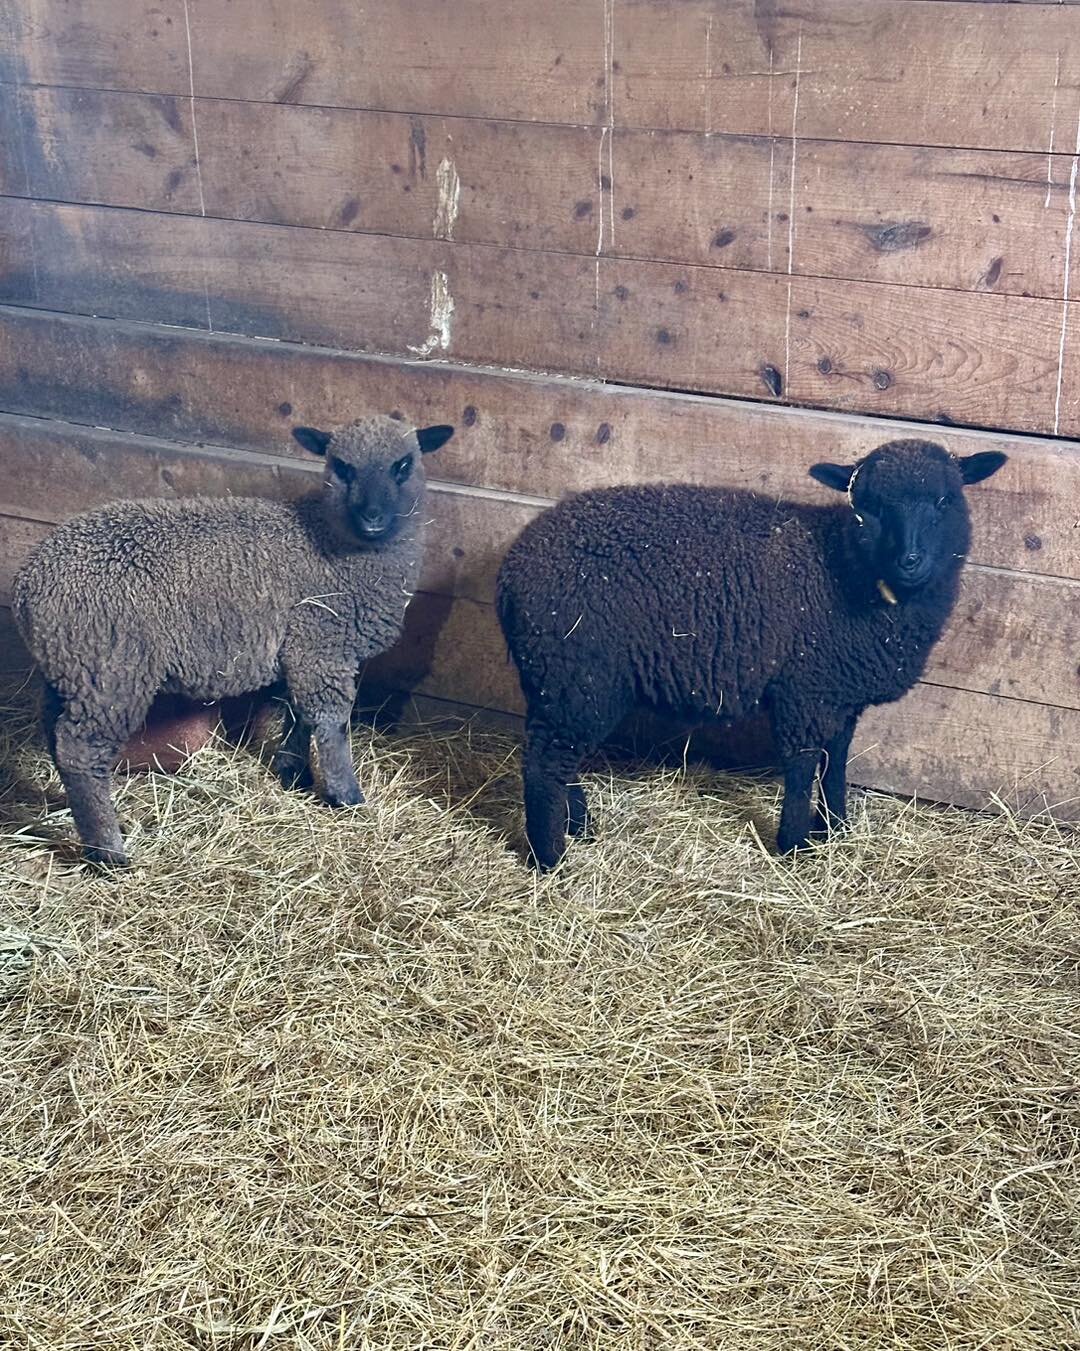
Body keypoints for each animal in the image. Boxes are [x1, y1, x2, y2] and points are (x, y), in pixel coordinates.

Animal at [12, 410, 454, 864]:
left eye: (403, 465)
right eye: (342, 467)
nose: (372, 518)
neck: (330, 541)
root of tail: (29, 585)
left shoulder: (299, 650)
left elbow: (297, 714)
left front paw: (294, 774)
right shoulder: (321, 645)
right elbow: (331, 724)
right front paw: (345, 795)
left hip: (71, 669)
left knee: (57, 740)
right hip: (112, 671)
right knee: (81, 753)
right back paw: (109, 853)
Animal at [497, 437, 1005, 870]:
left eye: (945, 501)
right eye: (871, 508)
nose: (910, 561)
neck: (843, 566)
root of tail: (512, 567)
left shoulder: (841, 694)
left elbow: (836, 762)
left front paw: (837, 829)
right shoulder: (806, 691)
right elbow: (802, 767)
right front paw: (795, 844)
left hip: (556, 681)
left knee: (557, 756)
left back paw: (579, 828)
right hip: (578, 675)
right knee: (544, 762)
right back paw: (550, 859)